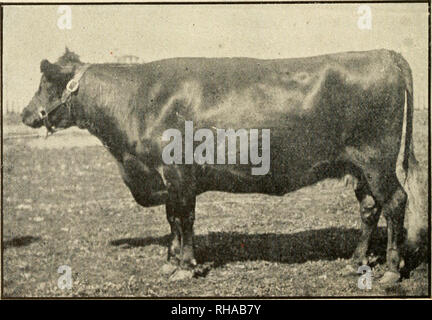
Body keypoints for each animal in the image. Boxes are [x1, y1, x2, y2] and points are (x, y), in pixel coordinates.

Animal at [22, 47, 424, 282]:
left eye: (45, 83)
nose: (26, 113)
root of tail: (384, 53)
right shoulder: (168, 179)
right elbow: (172, 219)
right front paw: (171, 261)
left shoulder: (177, 173)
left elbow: (183, 219)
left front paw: (185, 267)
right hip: (359, 166)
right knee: (370, 207)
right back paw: (356, 261)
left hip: (376, 159)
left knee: (395, 202)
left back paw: (391, 270)